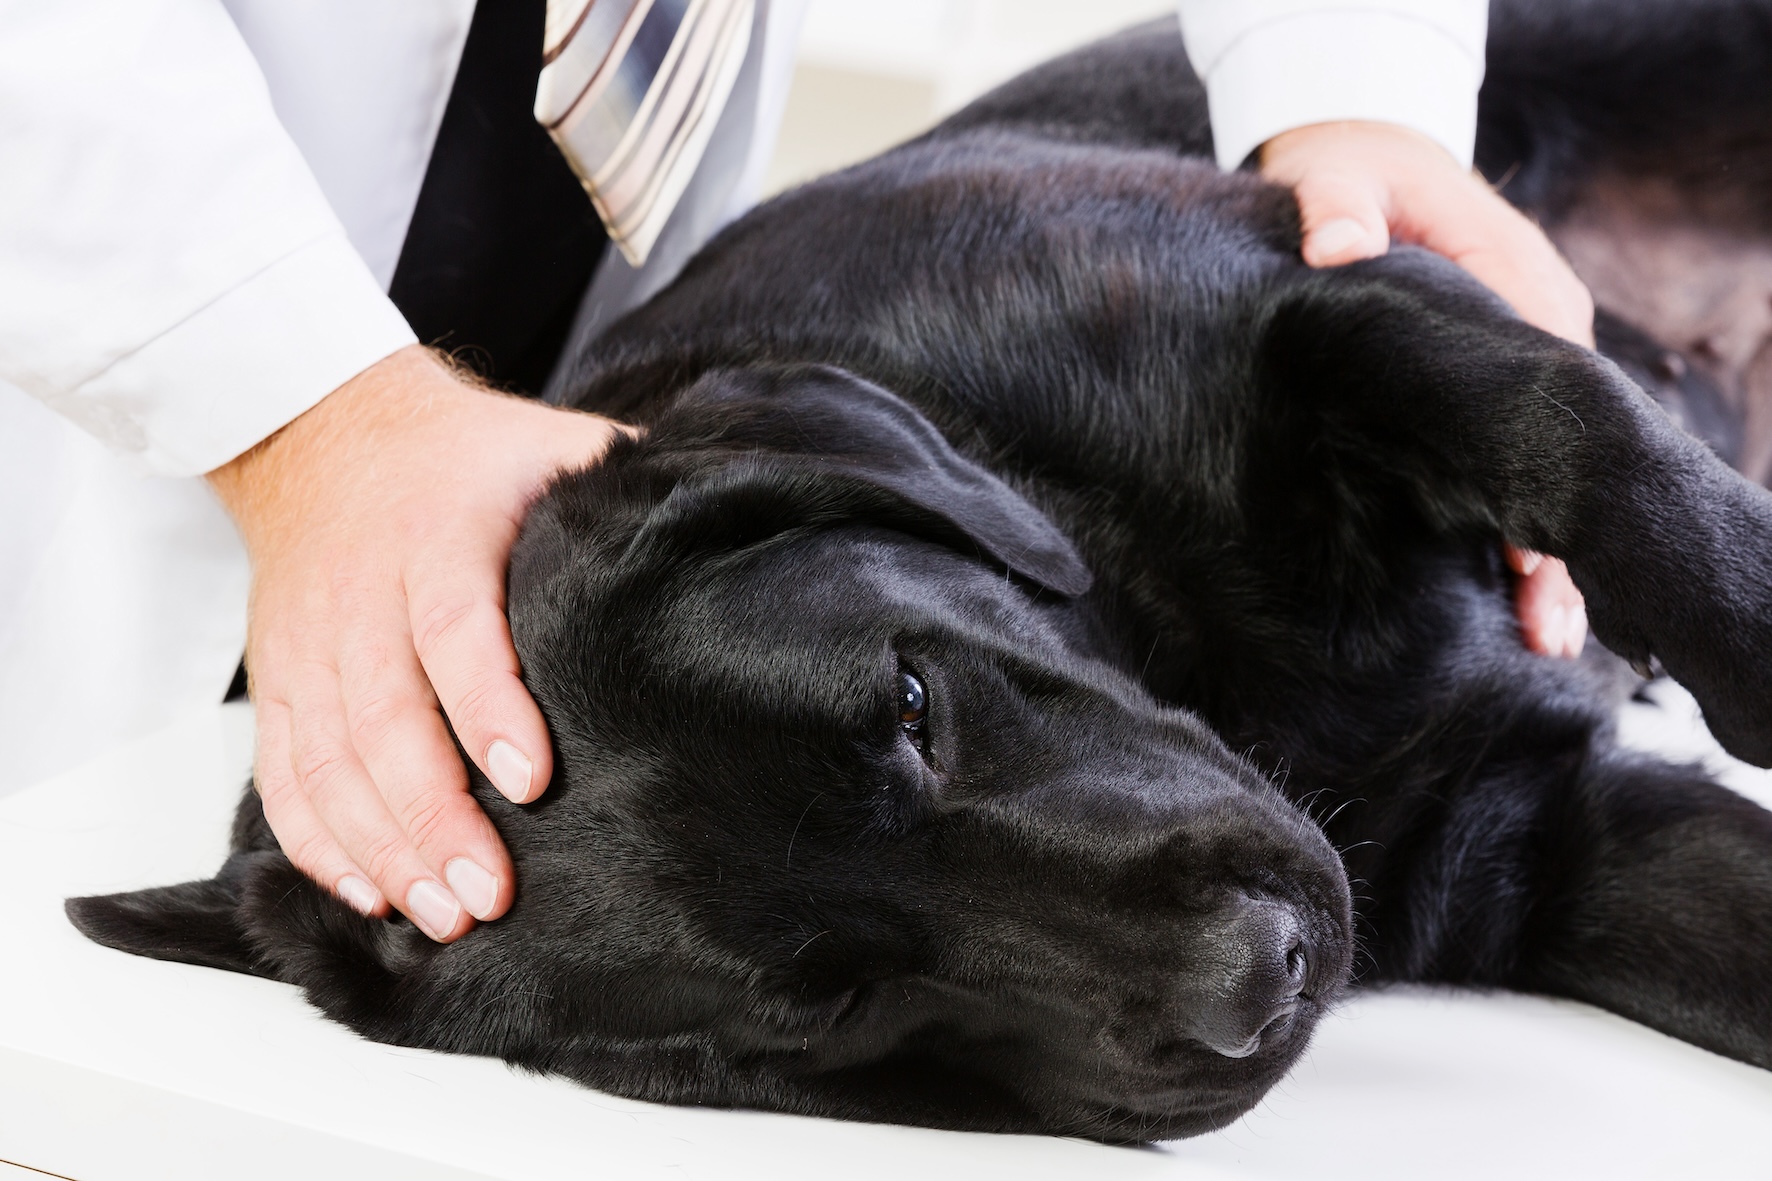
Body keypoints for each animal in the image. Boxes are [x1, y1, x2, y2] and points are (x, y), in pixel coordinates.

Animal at [76, 0, 1772, 1141]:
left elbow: (1573, 429)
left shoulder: (1329, 295)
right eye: (829, 1009)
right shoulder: (1539, 850)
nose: (1264, 972)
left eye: (910, 703)